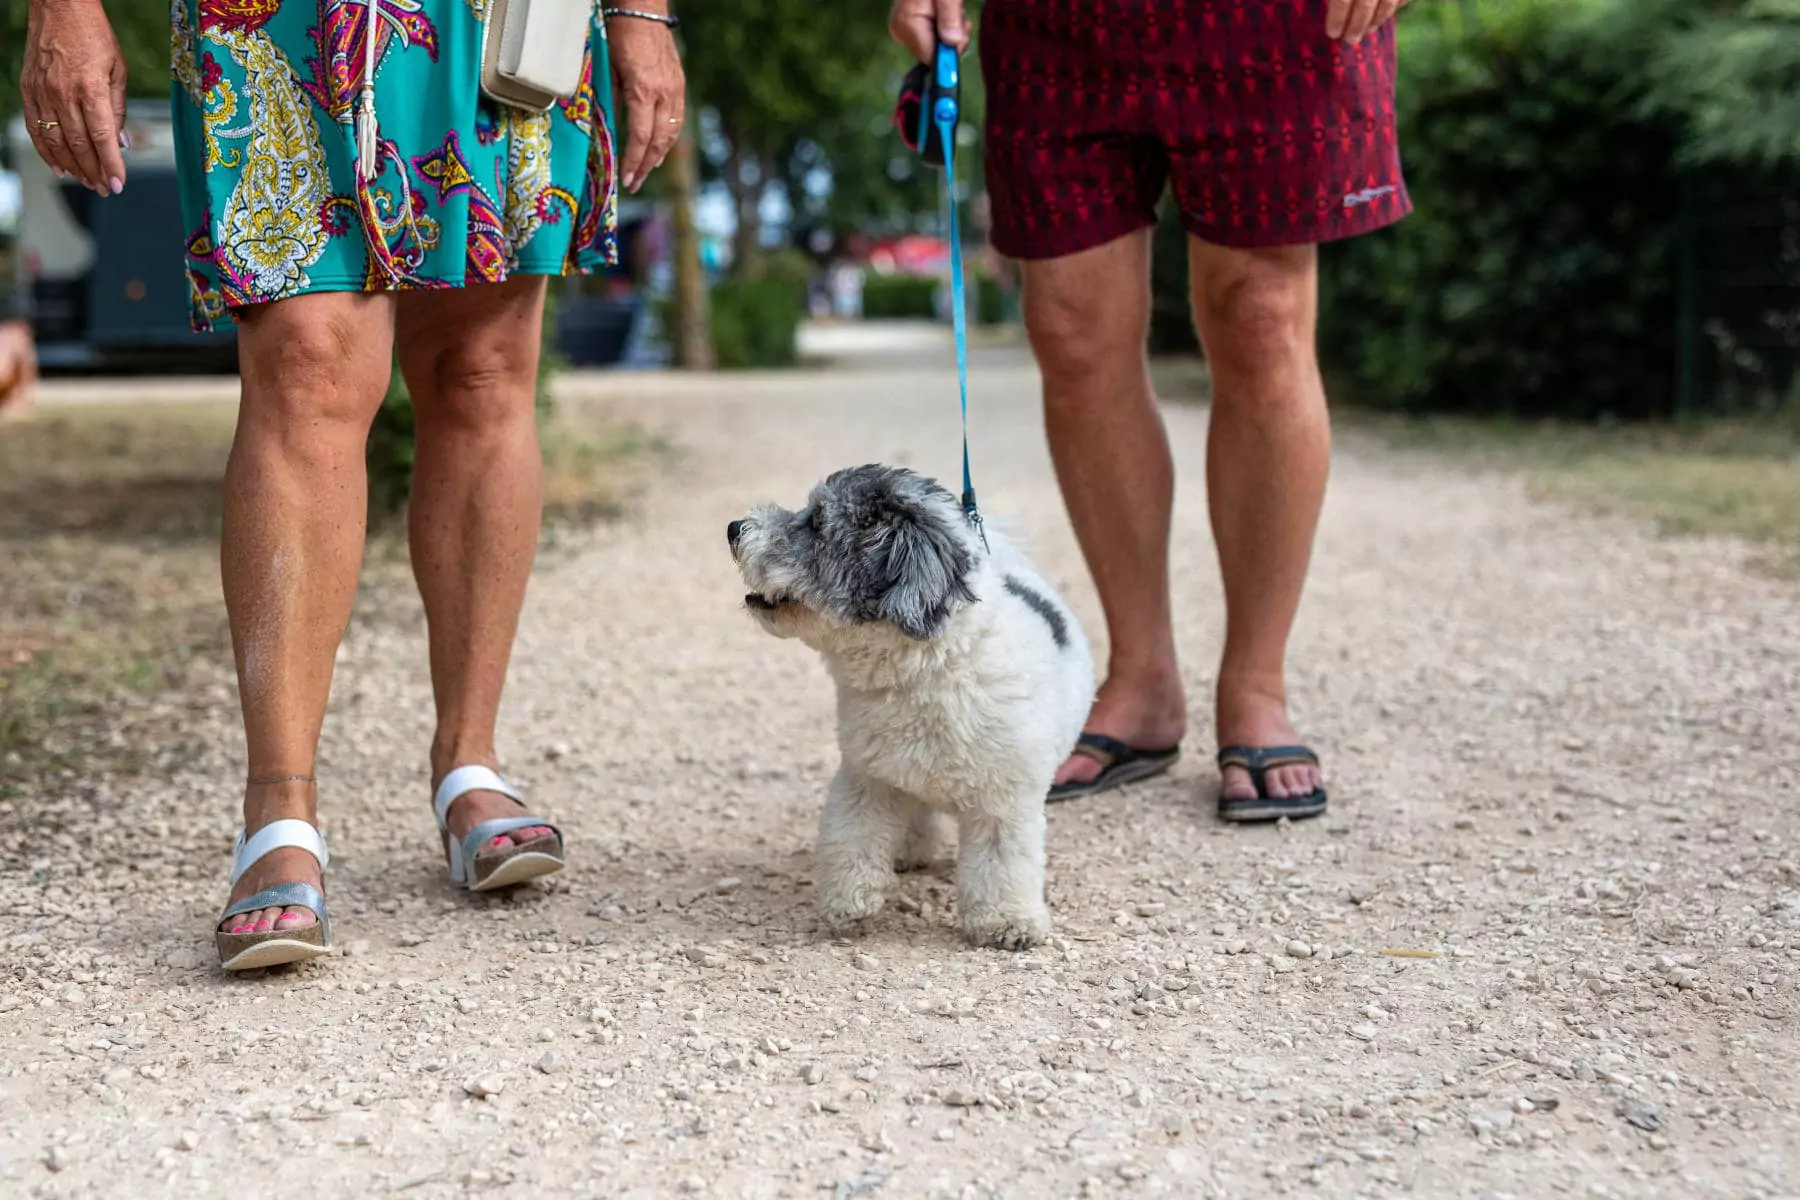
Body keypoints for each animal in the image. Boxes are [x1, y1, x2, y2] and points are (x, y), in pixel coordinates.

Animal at [730, 464, 1094, 949]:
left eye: (817, 522)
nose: (734, 528)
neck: (929, 669)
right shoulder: (867, 779)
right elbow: (853, 839)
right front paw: (850, 902)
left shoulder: (1004, 802)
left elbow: (1000, 863)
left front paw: (1007, 923)